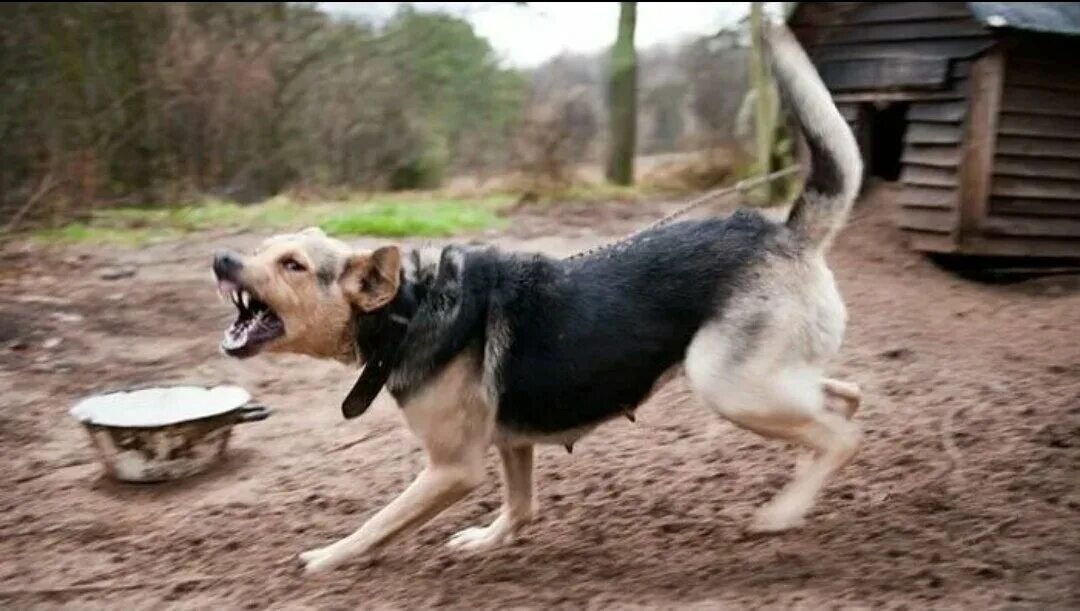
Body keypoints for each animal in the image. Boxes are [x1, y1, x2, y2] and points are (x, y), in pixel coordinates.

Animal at [212, 24, 859, 578]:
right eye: (262, 249)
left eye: (292, 265)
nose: (221, 259)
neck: (408, 309)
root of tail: (787, 231)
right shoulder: (511, 444)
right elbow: (520, 508)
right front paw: (486, 541)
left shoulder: (453, 468)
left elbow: (378, 523)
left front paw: (328, 557)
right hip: (760, 377)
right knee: (842, 400)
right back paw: (809, 473)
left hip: (728, 384)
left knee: (838, 434)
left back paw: (784, 512)